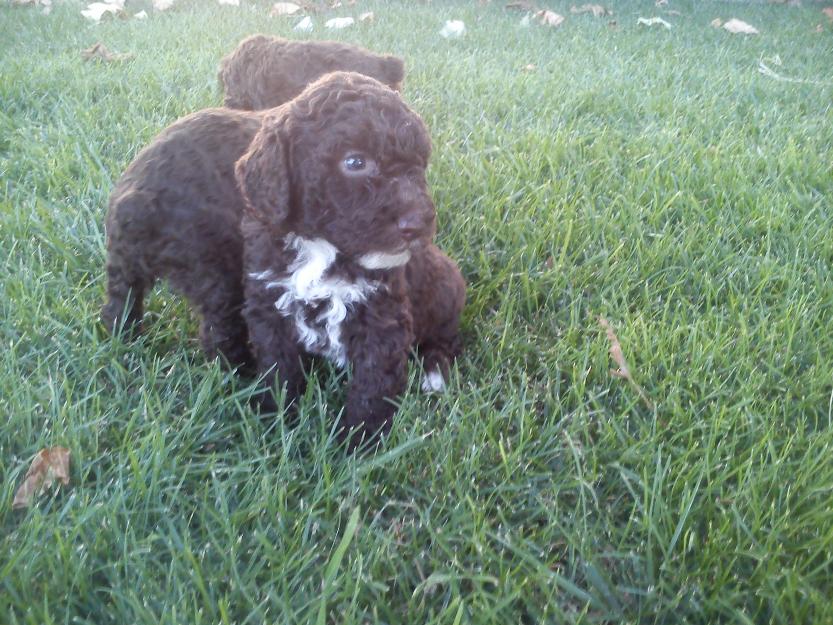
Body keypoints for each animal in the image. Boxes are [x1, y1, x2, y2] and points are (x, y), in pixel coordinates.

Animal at [103, 73, 464, 444]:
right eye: (355, 162)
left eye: (420, 165)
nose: (420, 222)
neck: (320, 246)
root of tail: (135, 198)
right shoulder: (271, 303)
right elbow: (279, 367)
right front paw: (274, 421)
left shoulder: (382, 316)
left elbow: (373, 383)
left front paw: (358, 443)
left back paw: (434, 373)